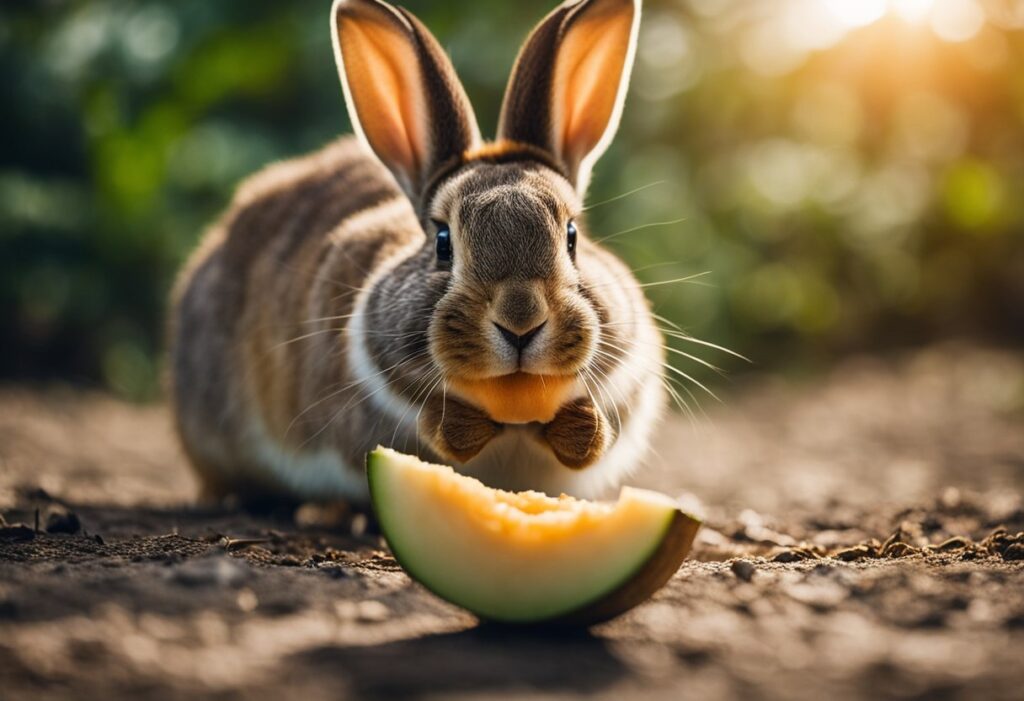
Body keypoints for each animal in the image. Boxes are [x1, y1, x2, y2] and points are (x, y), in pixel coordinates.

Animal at [169, 0, 667, 504]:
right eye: (443, 242)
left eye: (572, 236)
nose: (520, 321)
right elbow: (430, 429)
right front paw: (462, 426)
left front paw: (579, 428)